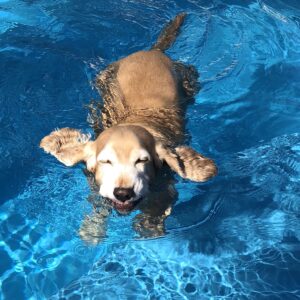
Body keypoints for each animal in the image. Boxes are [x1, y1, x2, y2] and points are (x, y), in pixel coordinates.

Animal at [40, 14, 218, 243]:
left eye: (142, 160)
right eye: (106, 161)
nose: (123, 193)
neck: (136, 121)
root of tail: (153, 51)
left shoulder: (166, 186)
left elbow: (158, 207)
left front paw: (148, 226)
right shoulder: (95, 187)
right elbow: (97, 206)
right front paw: (92, 229)